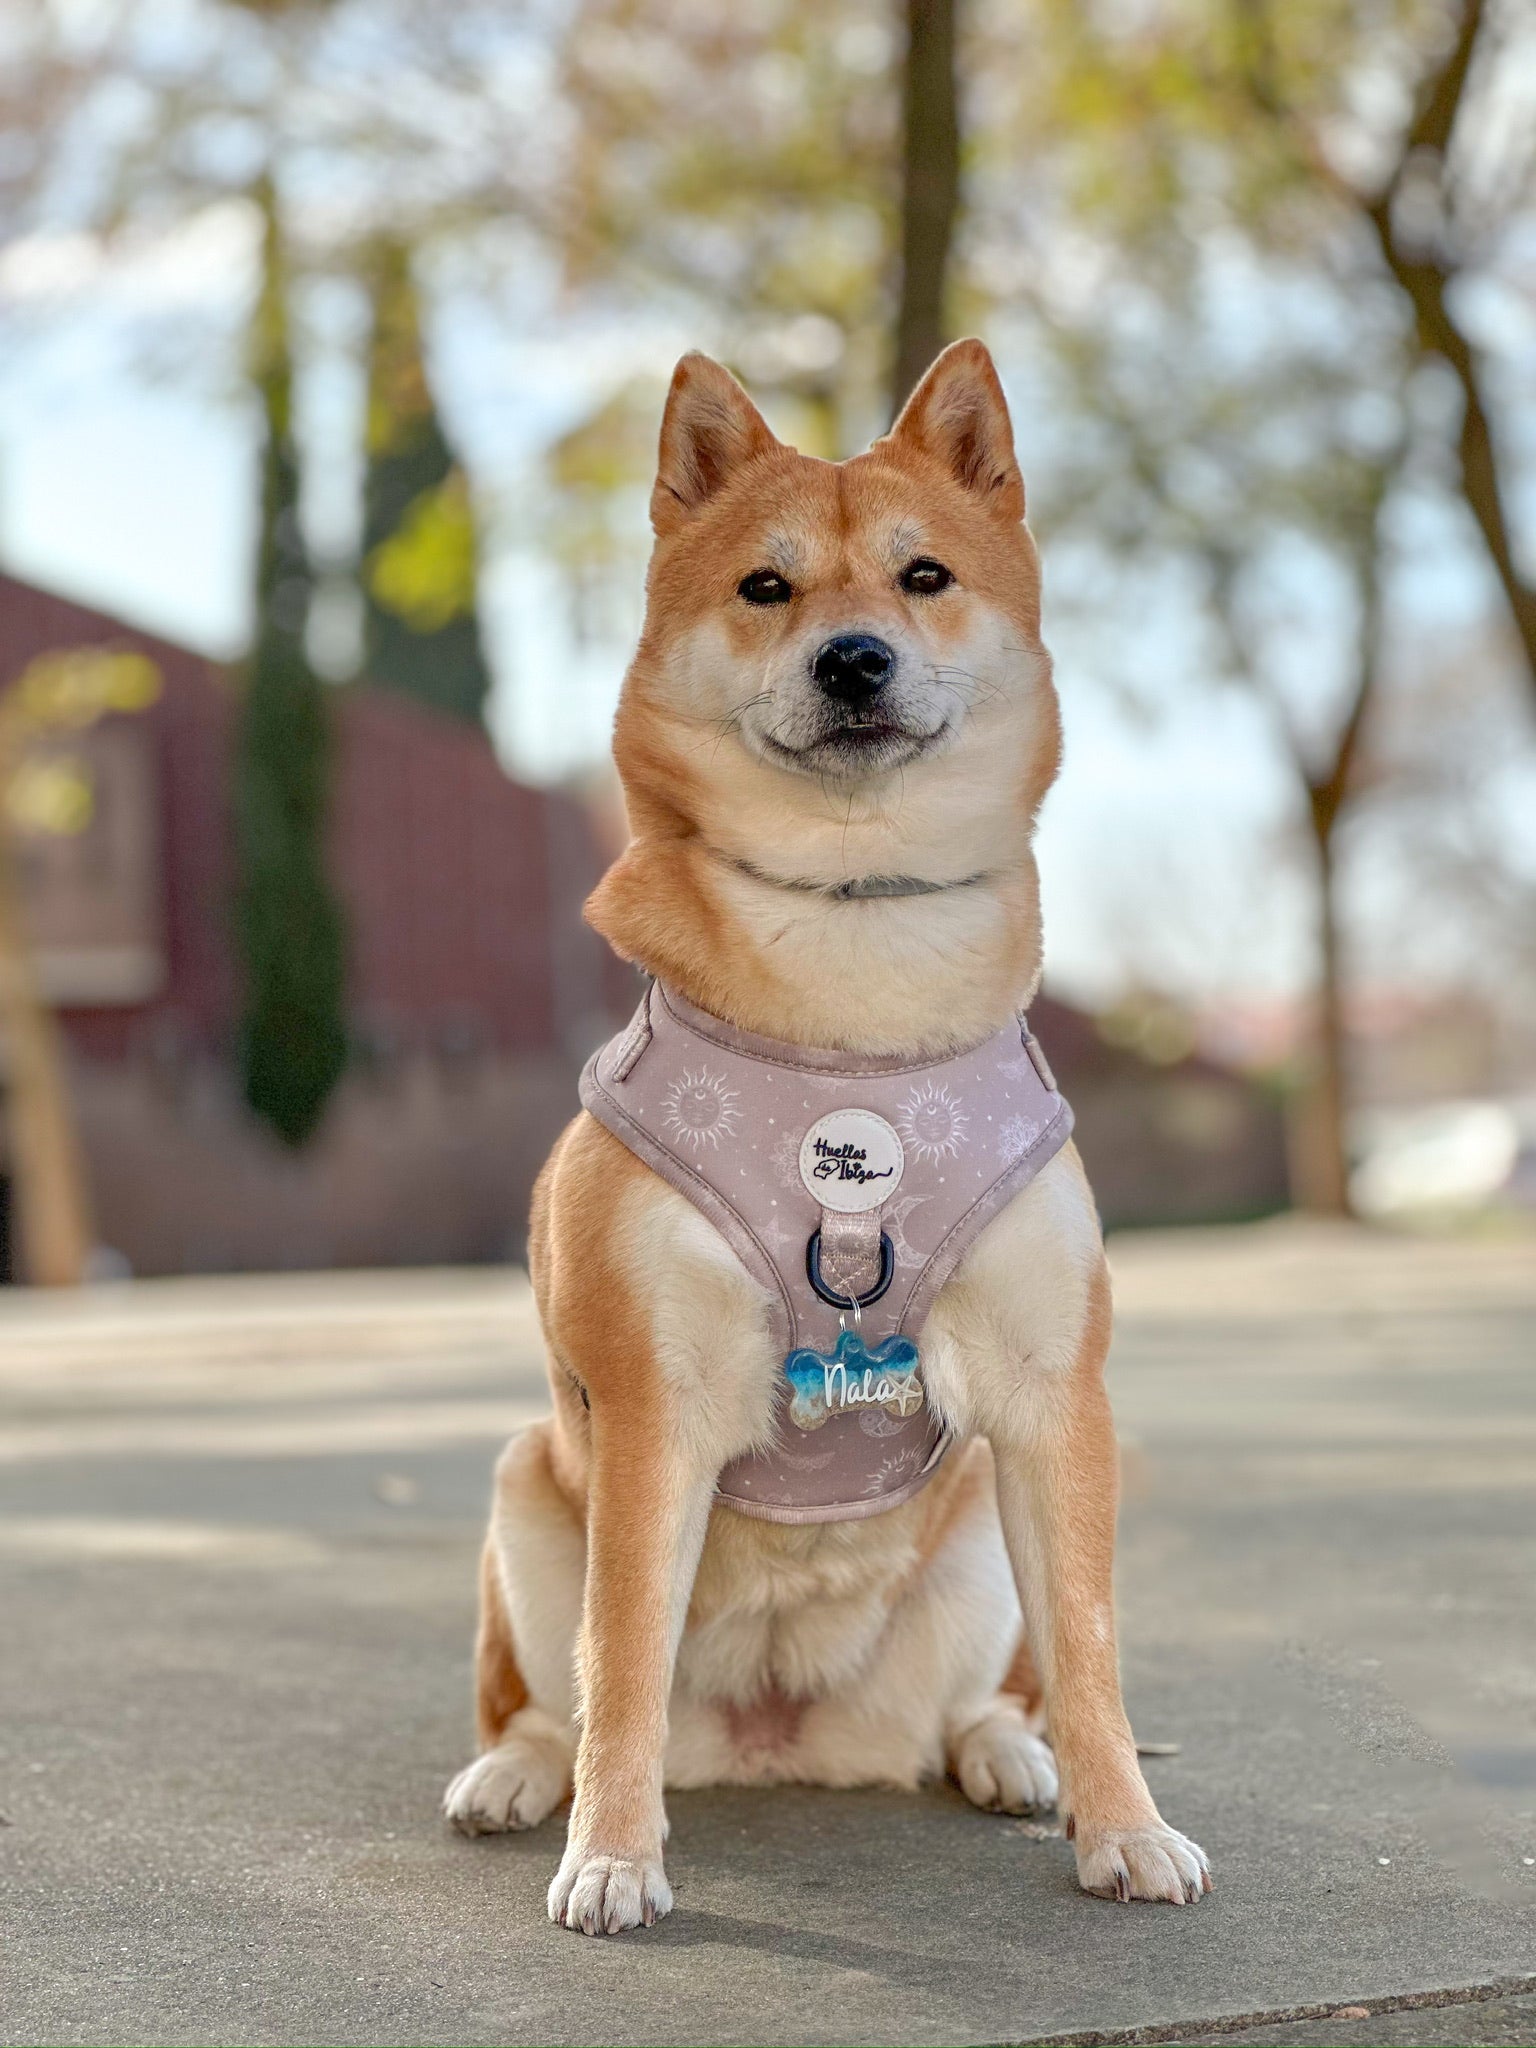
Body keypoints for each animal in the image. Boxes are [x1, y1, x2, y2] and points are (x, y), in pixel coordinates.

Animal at [444, 339, 1212, 1933]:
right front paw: (613, 1853)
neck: (857, 982)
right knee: (552, 1697)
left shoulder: (1052, 1396)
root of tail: (779, 1731)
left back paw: (1008, 1756)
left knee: (986, 1700)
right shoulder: (650, 1406)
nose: (852, 657)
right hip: (528, 1494)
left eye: (923, 576)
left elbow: (1093, 1647)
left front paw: (1124, 1825)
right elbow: (620, 1661)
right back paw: (519, 1778)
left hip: (973, 1538)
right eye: (766, 587)